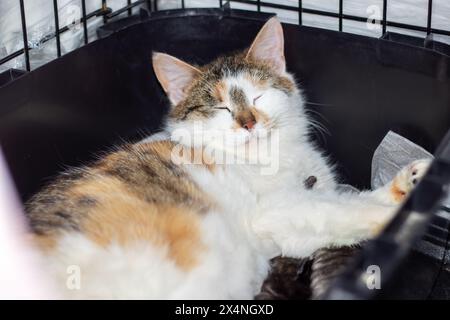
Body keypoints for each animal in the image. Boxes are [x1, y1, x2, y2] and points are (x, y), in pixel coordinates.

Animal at [26, 17, 430, 298]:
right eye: (220, 107)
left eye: (257, 95)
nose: (248, 122)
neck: (275, 157)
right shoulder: (277, 211)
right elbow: (337, 211)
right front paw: (400, 216)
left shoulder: (290, 233)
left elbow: (337, 209)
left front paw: (410, 183)